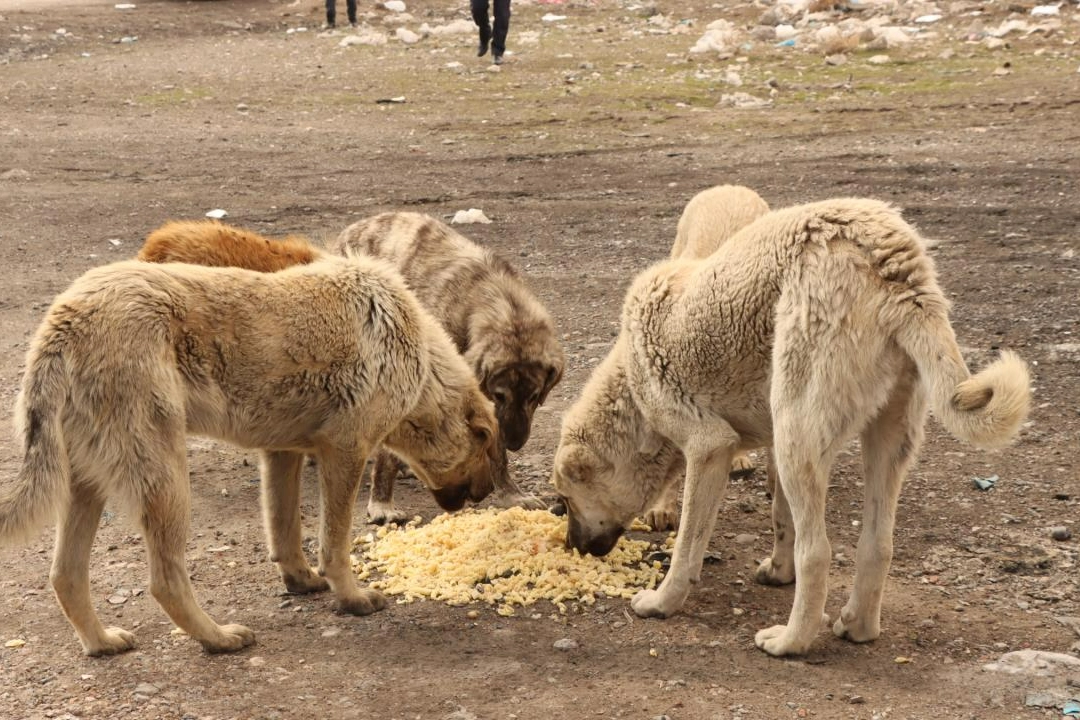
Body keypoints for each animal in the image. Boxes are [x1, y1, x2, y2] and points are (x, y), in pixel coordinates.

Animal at [0, 255, 496, 656]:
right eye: (487, 448)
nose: (489, 492)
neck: (419, 358)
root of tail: (64, 322)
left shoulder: (282, 454)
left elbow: (285, 530)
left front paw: (301, 581)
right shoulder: (346, 454)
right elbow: (334, 543)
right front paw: (352, 599)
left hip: (86, 484)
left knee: (65, 575)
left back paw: (101, 642)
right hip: (166, 481)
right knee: (164, 581)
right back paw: (217, 638)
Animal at [552, 199, 1032, 656]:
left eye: (566, 499)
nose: (571, 547)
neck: (630, 391)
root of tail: (894, 260)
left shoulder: (710, 447)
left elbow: (689, 544)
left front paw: (662, 601)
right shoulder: (768, 440)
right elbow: (781, 516)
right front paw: (779, 571)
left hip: (797, 434)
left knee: (817, 552)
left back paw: (791, 641)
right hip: (872, 438)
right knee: (877, 543)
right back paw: (857, 626)